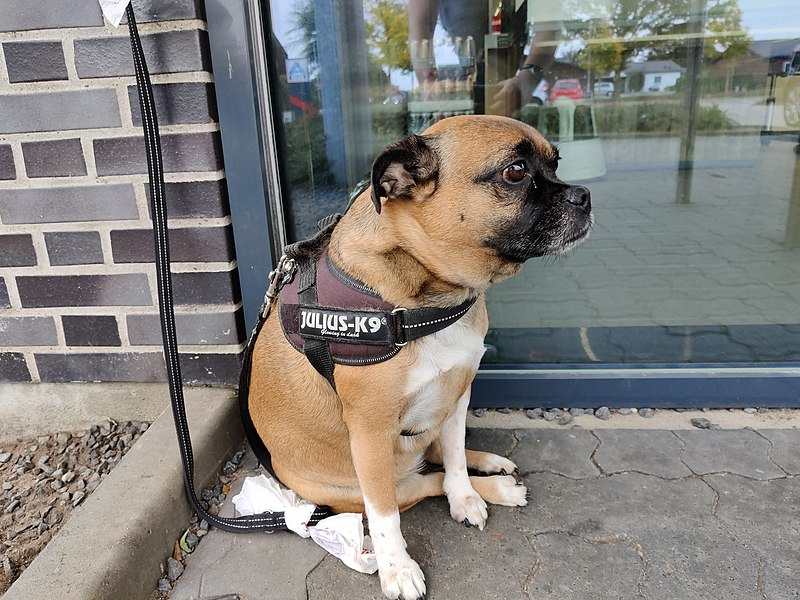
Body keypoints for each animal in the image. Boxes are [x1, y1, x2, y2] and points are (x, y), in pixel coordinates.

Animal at [247, 115, 592, 596]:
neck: (431, 291)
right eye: (516, 172)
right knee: (422, 482)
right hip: (357, 486)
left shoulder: (457, 395)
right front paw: (397, 569)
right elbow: (386, 516)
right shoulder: (371, 435)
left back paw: (490, 470)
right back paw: (499, 488)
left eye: (555, 164)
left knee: (443, 458)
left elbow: (455, 458)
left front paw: (466, 496)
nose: (585, 196)